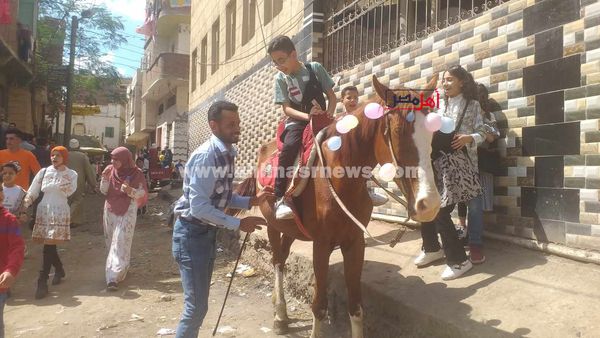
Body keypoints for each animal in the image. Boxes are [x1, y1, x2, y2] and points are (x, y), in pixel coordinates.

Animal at [234, 74, 440, 338]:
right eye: (397, 131)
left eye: (432, 134)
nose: (430, 204)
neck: (340, 179)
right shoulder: (321, 245)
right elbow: (319, 306)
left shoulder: (355, 242)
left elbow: (356, 307)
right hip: (273, 225)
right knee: (278, 261)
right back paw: (280, 314)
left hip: (291, 230)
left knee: (284, 255)